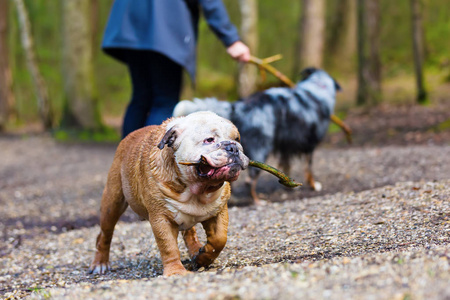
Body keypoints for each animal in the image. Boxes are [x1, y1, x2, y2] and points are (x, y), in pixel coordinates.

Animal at [173, 68, 342, 204]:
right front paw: (313, 185)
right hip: (261, 148)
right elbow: (309, 168)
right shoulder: (310, 144)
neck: (317, 86)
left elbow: (286, 166)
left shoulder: (286, 146)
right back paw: (257, 201)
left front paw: (289, 185)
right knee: (250, 180)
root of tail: (240, 106)